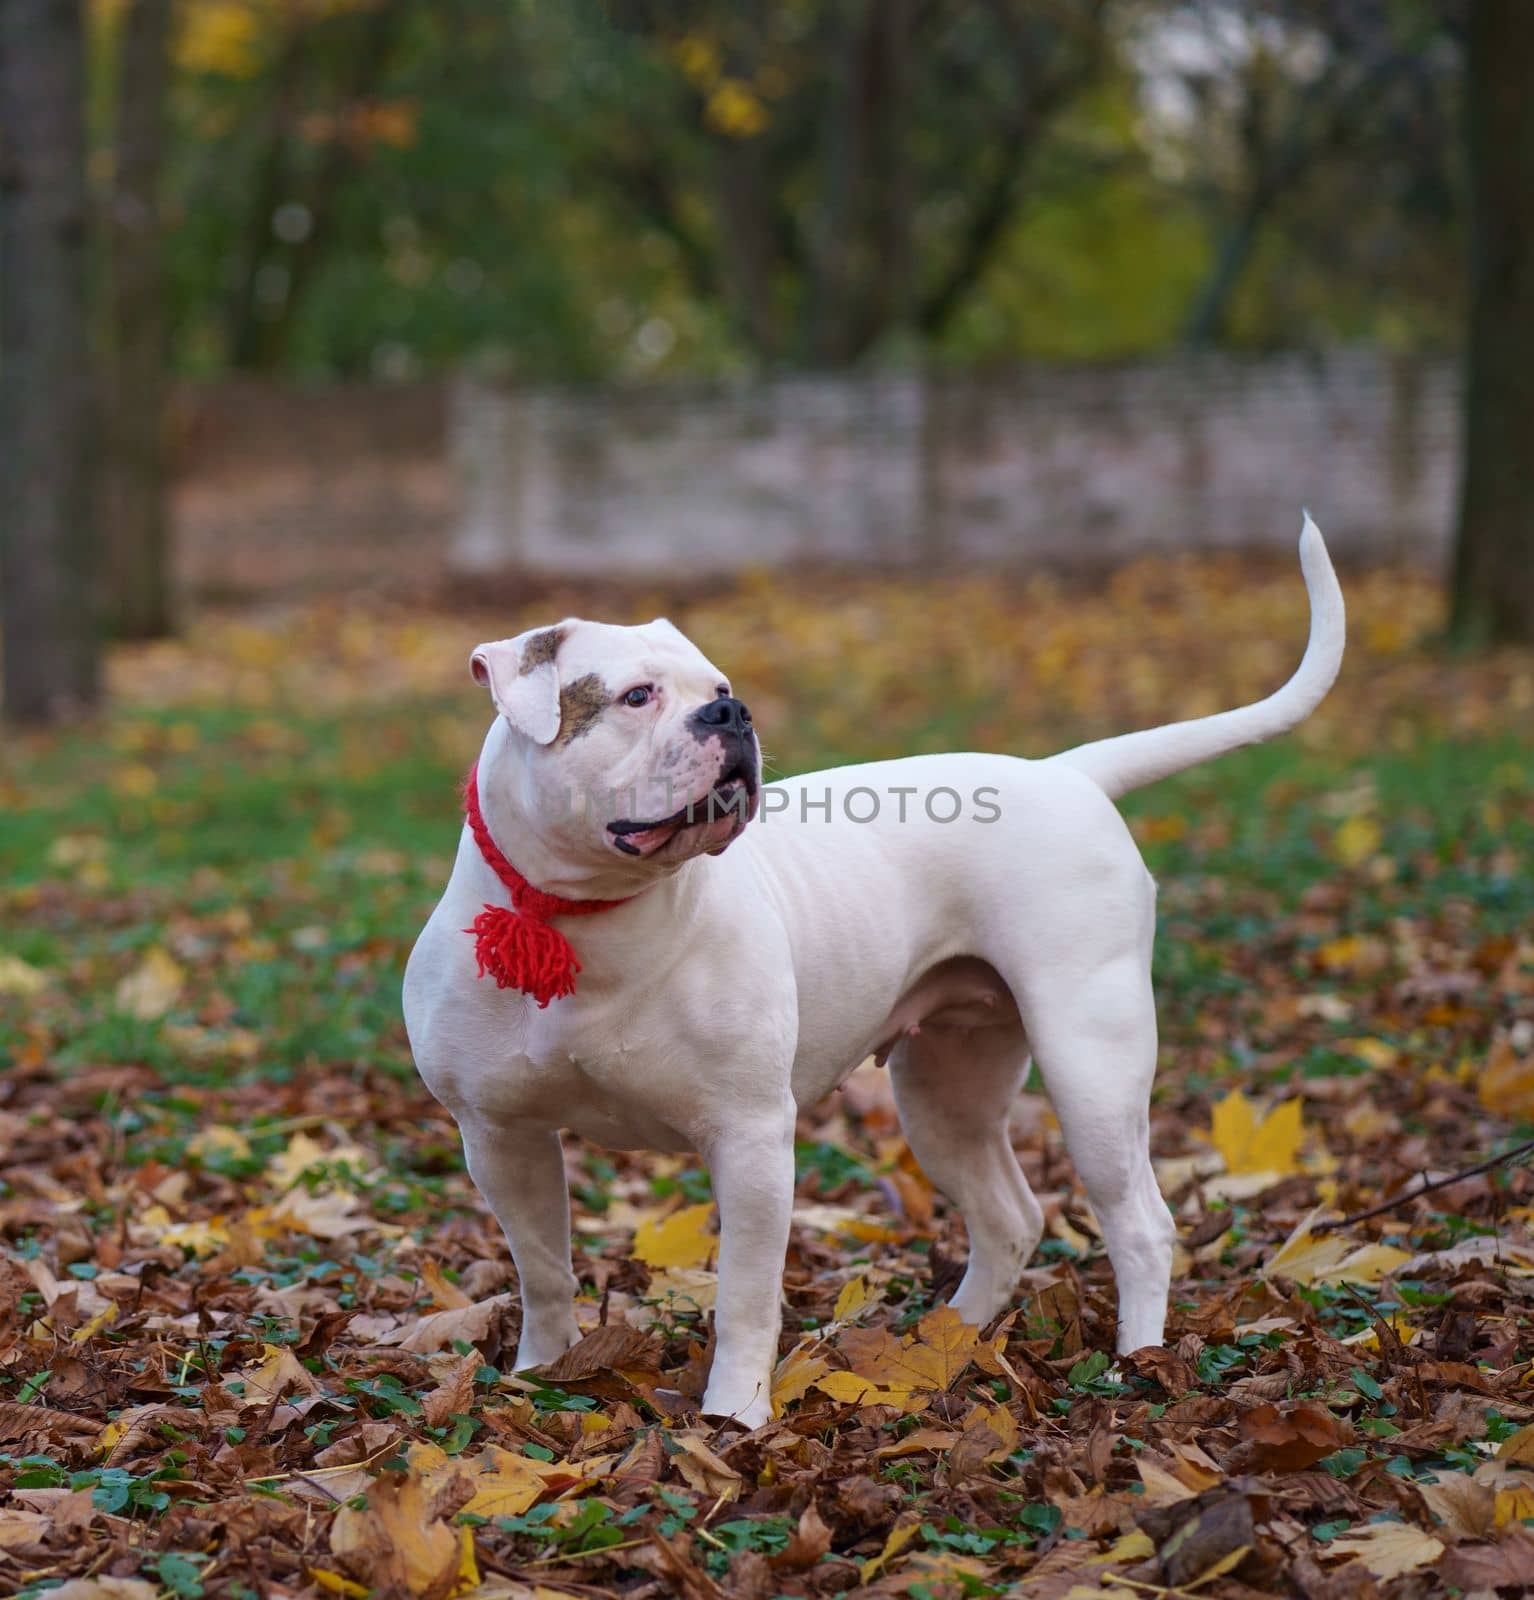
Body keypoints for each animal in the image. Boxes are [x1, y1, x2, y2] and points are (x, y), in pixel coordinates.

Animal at [404, 515, 1343, 1427]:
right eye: (637, 697)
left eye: (717, 687)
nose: (733, 714)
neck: (588, 918)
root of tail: (1063, 773)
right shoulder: (501, 1136)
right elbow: (543, 1267)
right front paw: (541, 1375)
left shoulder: (750, 1137)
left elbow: (746, 1295)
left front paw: (735, 1416)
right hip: (945, 1091)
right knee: (1009, 1214)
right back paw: (948, 1341)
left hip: (1092, 1064)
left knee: (1139, 1219)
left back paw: (1134, 1363)